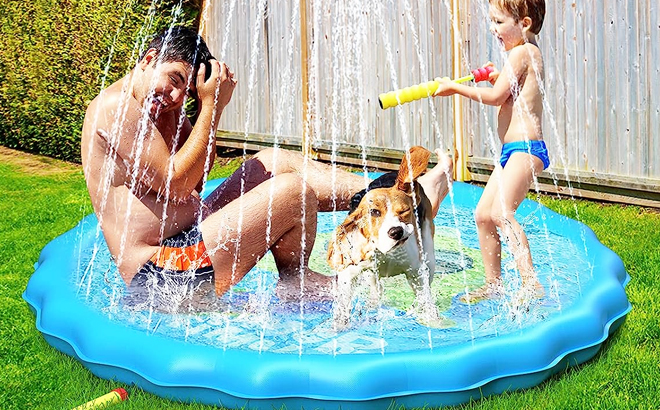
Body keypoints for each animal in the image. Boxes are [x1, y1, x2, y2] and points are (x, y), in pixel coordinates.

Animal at [326, 146, 438, 328]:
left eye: (405, 211)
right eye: (375, 212)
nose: (396, 231)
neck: (384, 251)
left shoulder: (417, 273)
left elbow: (426, 300)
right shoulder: (349, 275)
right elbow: (343, 306)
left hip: (429, 255)